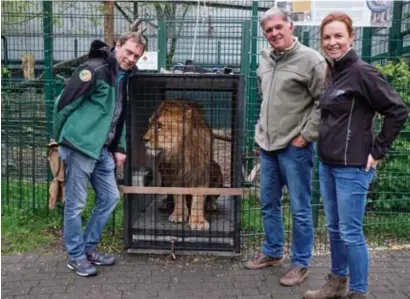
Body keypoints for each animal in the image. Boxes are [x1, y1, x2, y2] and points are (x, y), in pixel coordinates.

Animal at [143, 99, 223, 231]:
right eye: (150, 124)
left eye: (160, 125)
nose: (144, 139)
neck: (182, 149)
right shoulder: (174, 173)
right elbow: (178, 195)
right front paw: (178, 215)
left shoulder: (200, 172)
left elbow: (198, 198)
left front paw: (198, 221)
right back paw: (166, 203)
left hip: (216, 168)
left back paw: (211, 204)